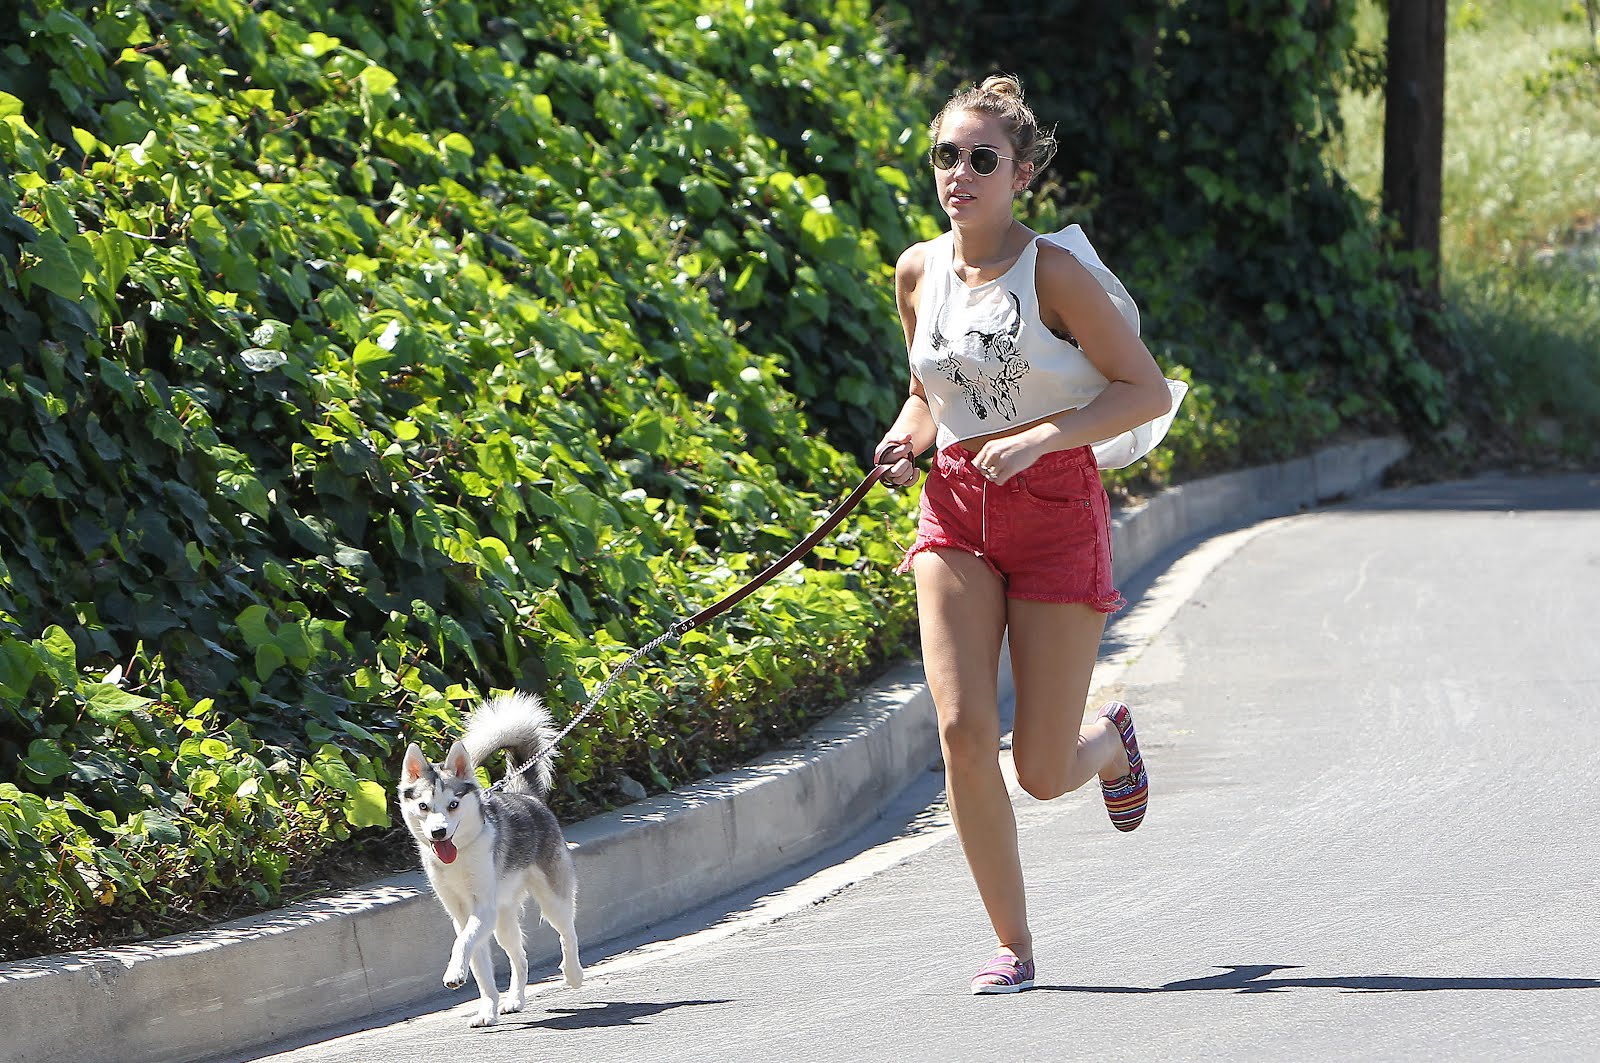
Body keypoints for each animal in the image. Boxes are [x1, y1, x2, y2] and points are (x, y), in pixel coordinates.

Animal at [398, 694, 585, 1024]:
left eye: (453, 804)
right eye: (423, 806)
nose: (438, 832)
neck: (460, 855)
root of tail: (528, 797)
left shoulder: (482, 909)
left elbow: (462, 943)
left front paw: (454, 973)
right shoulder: (462, 915)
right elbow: (479, 965)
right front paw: (488, 1008)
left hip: (552, 899)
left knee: (568, 933)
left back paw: (573, 974)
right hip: (503, 919)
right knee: (520, 957)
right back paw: (515, 999)